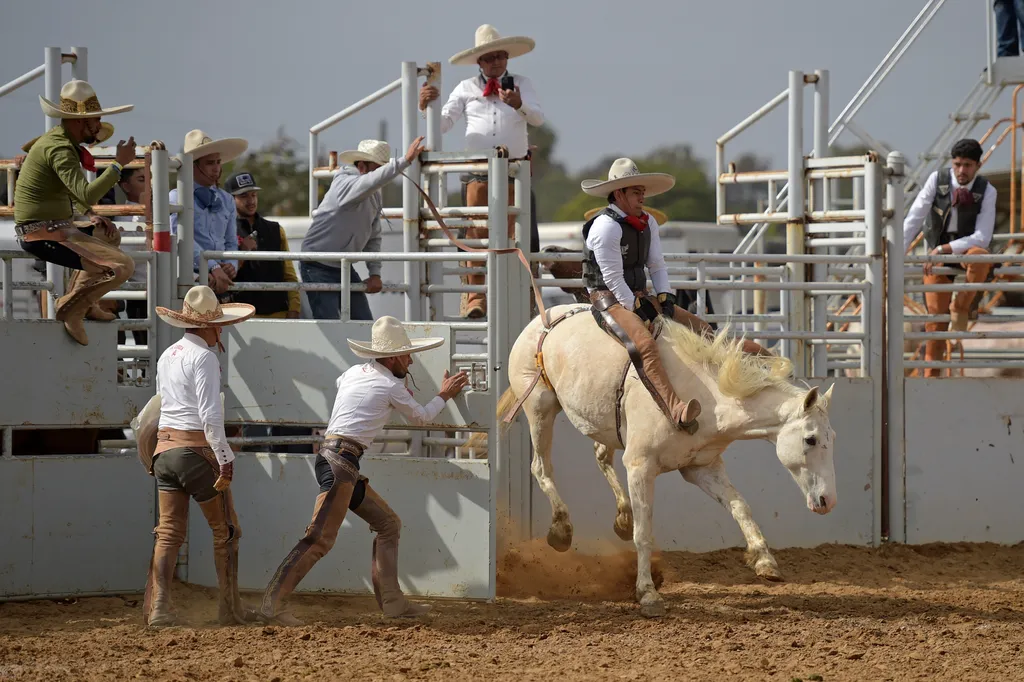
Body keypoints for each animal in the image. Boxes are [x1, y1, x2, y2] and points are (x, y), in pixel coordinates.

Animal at [483, 303, 835, 614]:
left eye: (832, 438)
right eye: (811, 439)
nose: (827, 501)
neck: (703, 397)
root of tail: (541, 320)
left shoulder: (701, 468)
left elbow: (740, 506)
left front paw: (764, 560)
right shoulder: (641, 466)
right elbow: (644, 533)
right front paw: (647, 593)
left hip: (600, 422)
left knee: (601, 456)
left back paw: (622, 517)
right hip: (540, 407)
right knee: (541, 467)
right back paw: (561, 529)